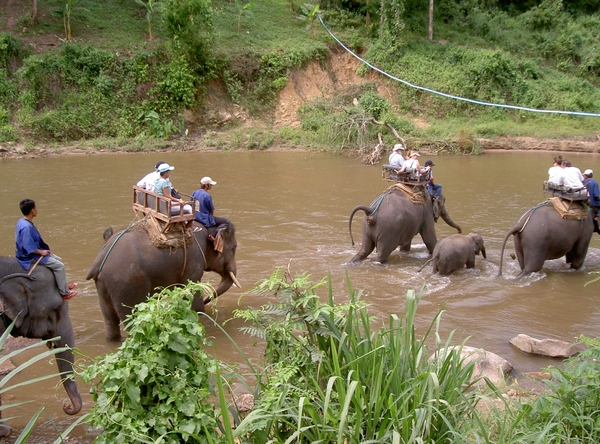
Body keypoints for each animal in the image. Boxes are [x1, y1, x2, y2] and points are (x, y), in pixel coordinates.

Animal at [85, 222, 240, 340]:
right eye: (234, 248)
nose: (207, 299)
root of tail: (100, 262)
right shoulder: (194, 263)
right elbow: (194, 301)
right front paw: (200, 310)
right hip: (126, 287)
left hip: (104, 288)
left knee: (109, 321)